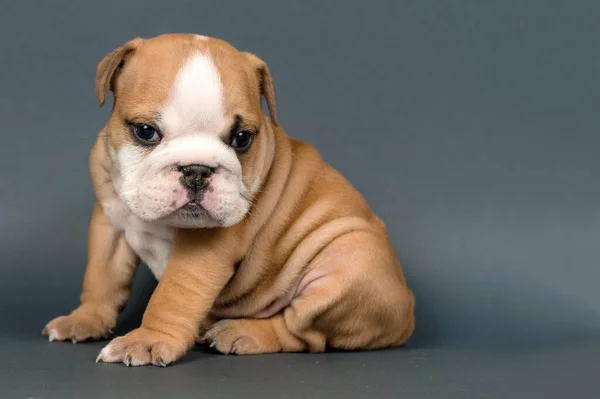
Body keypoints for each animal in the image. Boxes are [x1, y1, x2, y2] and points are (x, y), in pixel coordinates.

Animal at [42, 34, 414, 368]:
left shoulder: (203, 248)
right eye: (146, 131)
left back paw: (240, 333)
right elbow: (101, 277)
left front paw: (146, 340)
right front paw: (85, 318)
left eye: (242, 138)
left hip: (347, 265)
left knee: (304, 332)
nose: (197, 170)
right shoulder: (110, 222)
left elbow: (172, 296)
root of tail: (408, 317)